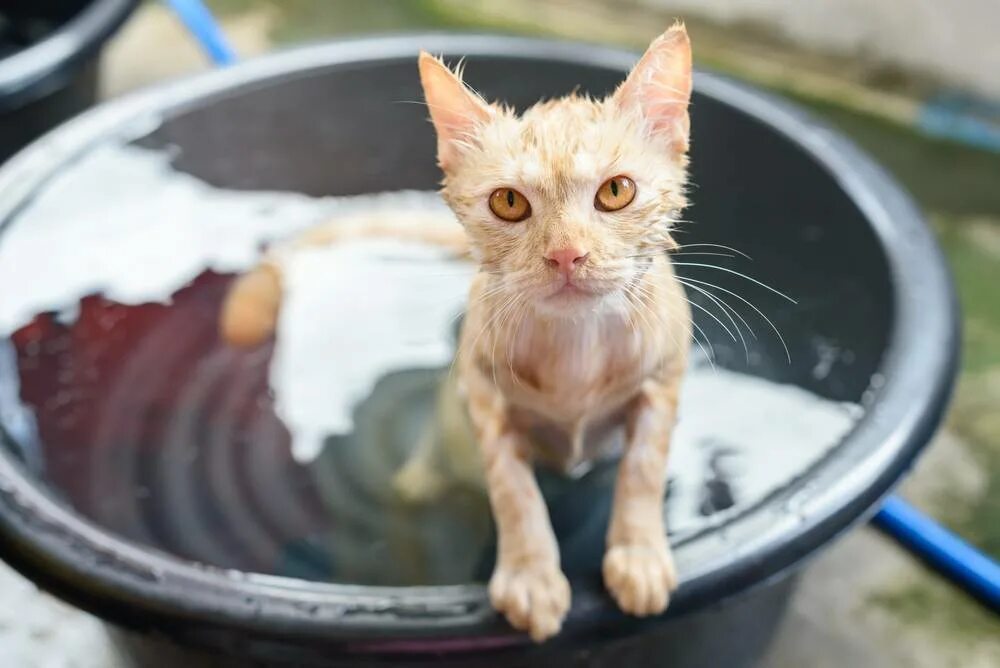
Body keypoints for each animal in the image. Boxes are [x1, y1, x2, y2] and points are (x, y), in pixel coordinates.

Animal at [222, 24, 692, 640]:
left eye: (616, 192)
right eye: (509, 202)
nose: (566, 255)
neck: (577, 346)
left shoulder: (662, 382)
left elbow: (642, 469)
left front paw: (638, 555)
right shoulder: (482, 394)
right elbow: (513, 490)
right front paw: (531, 575)